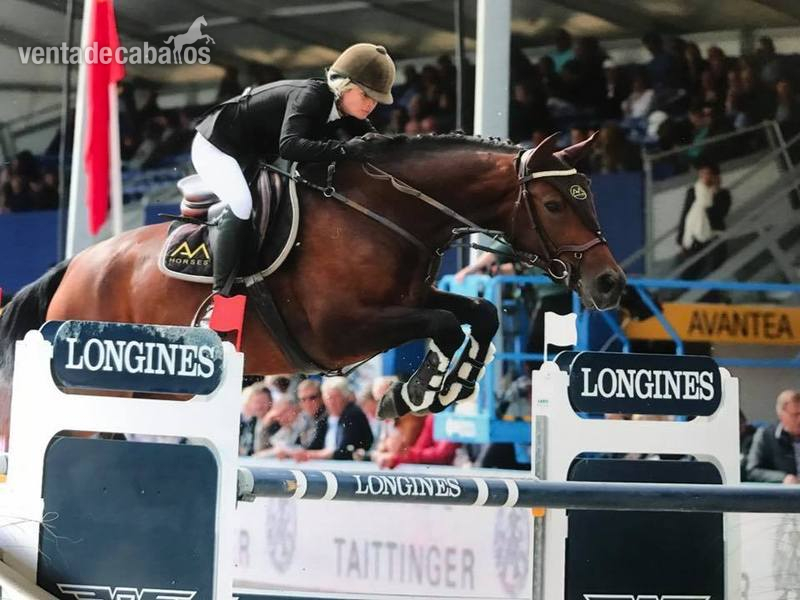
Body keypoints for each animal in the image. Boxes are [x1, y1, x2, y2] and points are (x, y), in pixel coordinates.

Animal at [0, 132, 626, 444]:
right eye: (552, 204)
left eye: (590, 196)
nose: (611, 283)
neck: (383, 213)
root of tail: (74, 266)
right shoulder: (340, 330)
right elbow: (447, 324)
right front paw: (418, 391)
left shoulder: (407, 301)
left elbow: (478, 313)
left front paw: (444, 386)